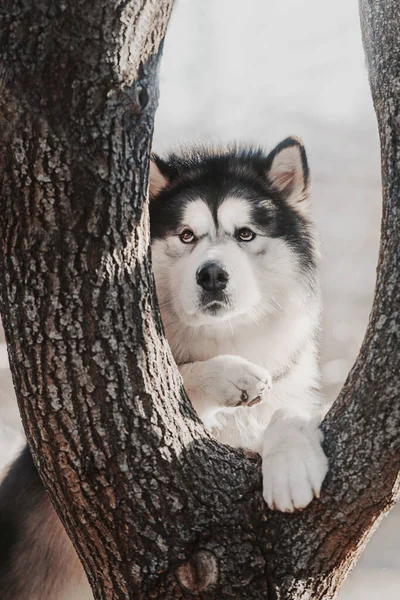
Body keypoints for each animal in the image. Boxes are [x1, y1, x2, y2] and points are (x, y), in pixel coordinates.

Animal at [0, 137, 328, 600]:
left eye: (246, 233)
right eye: (186, 235)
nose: (212, 275)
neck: (222, 337)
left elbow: (289, 411)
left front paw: (292, 467)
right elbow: (174, 374)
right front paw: (230, 375)